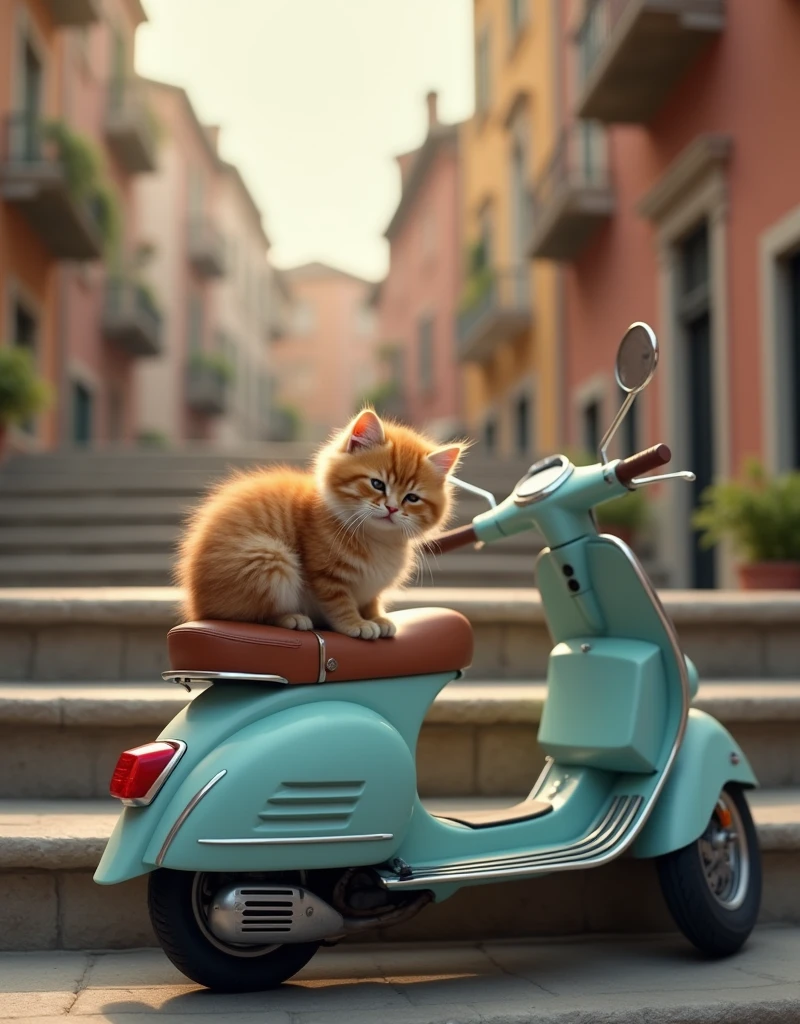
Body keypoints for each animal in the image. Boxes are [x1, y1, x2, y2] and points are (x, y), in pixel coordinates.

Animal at [175, 409, 460, 638]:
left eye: (412, 498)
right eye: (377, 484)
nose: (392, 508)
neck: (376, 538)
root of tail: (196, 608)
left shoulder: (370, 585)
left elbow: (371, 599)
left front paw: (376, 616)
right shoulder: (325, 574)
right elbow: (338, 602)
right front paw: (357, 623)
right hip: (269, 556)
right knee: (246, 615)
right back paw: (290, 618)